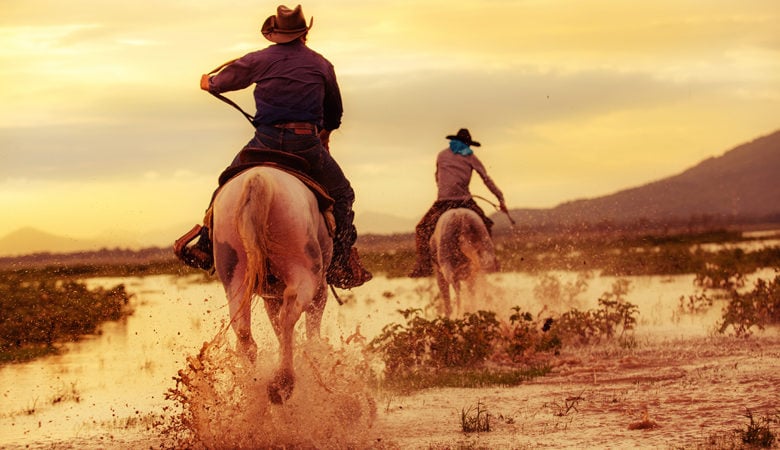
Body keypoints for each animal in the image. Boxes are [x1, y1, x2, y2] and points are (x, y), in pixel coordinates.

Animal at [212, 165, 334, 404]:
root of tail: (257, 180)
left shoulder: (271, 296)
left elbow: (276, 325)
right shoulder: (320, 289)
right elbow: (311, 330)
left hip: (234, 275)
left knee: (243, 331)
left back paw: (255, 383)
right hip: (305, 270)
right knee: (289, 313)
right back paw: (282, 383)